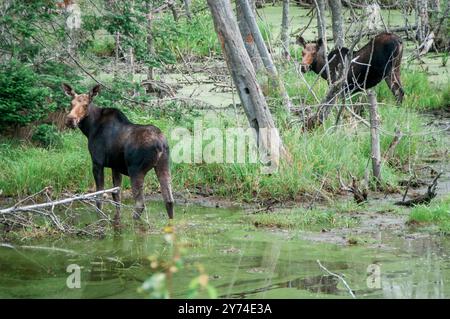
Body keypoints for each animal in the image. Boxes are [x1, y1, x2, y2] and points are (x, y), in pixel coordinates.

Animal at [62, 84, 174, 224]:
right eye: (71, 103)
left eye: (86, 105)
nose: (70, 120)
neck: (90, 128)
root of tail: (160, 144)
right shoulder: (115, 166)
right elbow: (116, 195)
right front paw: (117, 220)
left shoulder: (97, 163)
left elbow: (99, 196)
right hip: (164, 166)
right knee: (169, 200)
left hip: (136, 170)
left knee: (140, 204)